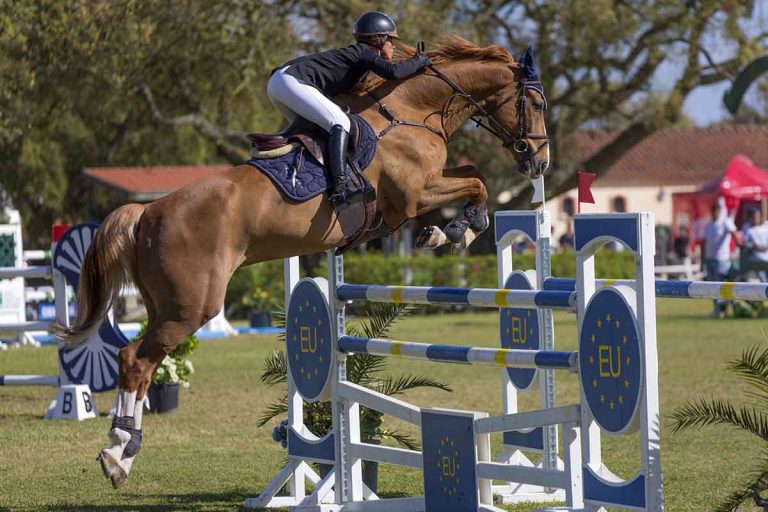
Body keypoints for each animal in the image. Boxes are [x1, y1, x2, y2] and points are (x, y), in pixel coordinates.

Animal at [54, 35, 548, 488]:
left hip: (164, 305)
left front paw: (452, 229)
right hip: (190, 308)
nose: (539, 162)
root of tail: (147, 212)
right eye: (538, 103)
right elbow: (478, 182)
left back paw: (123, 451)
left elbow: (472, 176)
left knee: (139, 361)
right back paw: (118, 452)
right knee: (136, 360)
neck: (410, 111)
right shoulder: (414, 196)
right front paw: (459, 228)